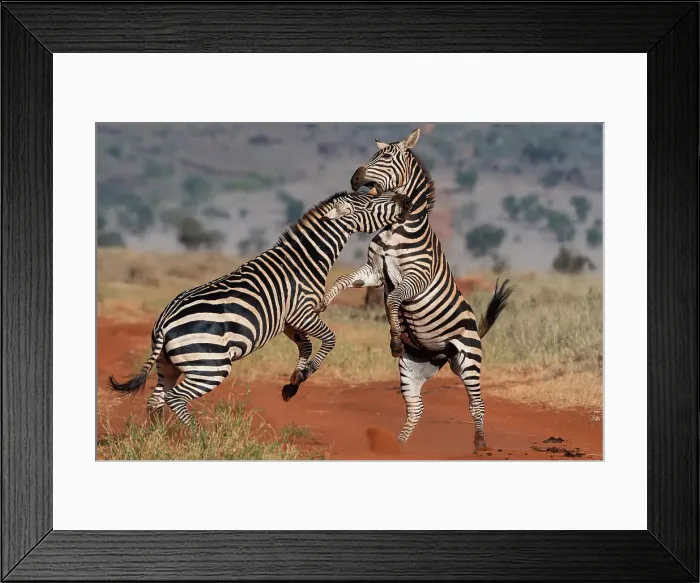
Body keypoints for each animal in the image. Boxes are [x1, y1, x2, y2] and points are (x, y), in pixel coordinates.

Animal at [108, 190, 412, 426]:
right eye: (371, 201)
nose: (405, 201)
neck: (305, 260)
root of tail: (164, 322)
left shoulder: (288, 321)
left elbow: (306, 346)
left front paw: (293, 382)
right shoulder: (303, 312)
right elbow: (329, 339)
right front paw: (306, 373)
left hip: (168, 365)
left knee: (156, 400)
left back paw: (162, 438)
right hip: (210, 366)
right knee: (175, 398)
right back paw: (197, 436)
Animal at [315, 129, 514, 451]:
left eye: (385, 156)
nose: (354, 179)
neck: (396, 228)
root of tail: (441, 355)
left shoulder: (416, 277)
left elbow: (394, 299)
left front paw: (396, 338)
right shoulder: (374, 272)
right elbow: (344, 279)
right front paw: (322, 302)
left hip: (469, 360)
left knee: (476, 403)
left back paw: (480, 444)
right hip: (412, 369)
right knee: (416, 407)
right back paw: (395, 447)